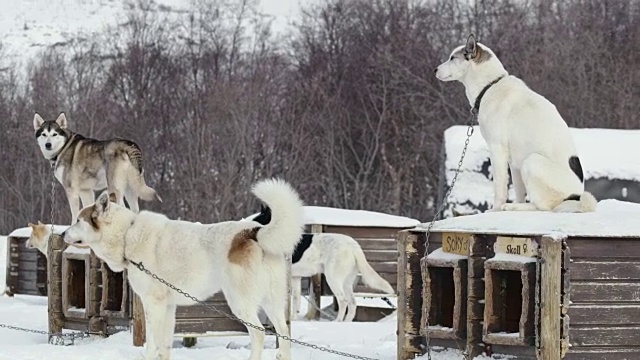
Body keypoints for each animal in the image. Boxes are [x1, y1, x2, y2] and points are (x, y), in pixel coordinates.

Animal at [33, 112, 161, 222]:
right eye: (44, 134)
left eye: (54, 134)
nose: (48, 145)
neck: (63, 147)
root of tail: (127, 144)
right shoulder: (86, 191)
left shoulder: (71, 190)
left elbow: (74, 214)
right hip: (130, 188)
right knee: (134, 210)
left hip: (114, 187)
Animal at [63, 178, 304, 360]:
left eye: (78, 220)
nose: (63, 233)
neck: (126, 235)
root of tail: (253, 232)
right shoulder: (169, 308)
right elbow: (164, 346)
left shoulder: (153, 305)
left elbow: (152, 344)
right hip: (272, 301)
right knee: (283, 332)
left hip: (240, 303)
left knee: (259, 333)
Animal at [251, 207, 396, 322]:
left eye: (257, 220)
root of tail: (352, 244)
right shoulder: (295, 278)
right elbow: (296, 301)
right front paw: (293, 319)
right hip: (346, 282)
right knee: (352, 303)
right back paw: (345, 323)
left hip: (333, 279)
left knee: (343, 301)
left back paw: (337, 321)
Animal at [432, 34, 596, 211]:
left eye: (452, 58)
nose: (435, 70)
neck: (489, 87)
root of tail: (575, 196)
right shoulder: (514, 162)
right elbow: (518, 192)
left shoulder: (497, 149)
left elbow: (499, 187)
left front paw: (495, 210)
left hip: (531, 161)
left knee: (542, 207)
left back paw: (513, 208)